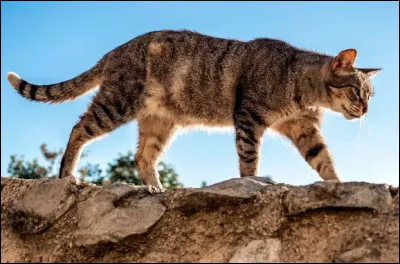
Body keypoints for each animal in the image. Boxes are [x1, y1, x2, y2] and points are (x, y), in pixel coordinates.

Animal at [7, 29, 382, 189]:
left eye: (370, 95)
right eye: (357, 91)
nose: (365, 111)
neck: (300, 85)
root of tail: (114, 51)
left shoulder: (304, 128)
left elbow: (324, 161)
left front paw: (338, 185)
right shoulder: (249, 118)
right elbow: (249, 160)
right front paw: (252, 182)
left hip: (159, 122)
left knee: (142, 156)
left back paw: (157, 190)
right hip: (117, 103)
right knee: (78, 129)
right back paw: (67, 175)